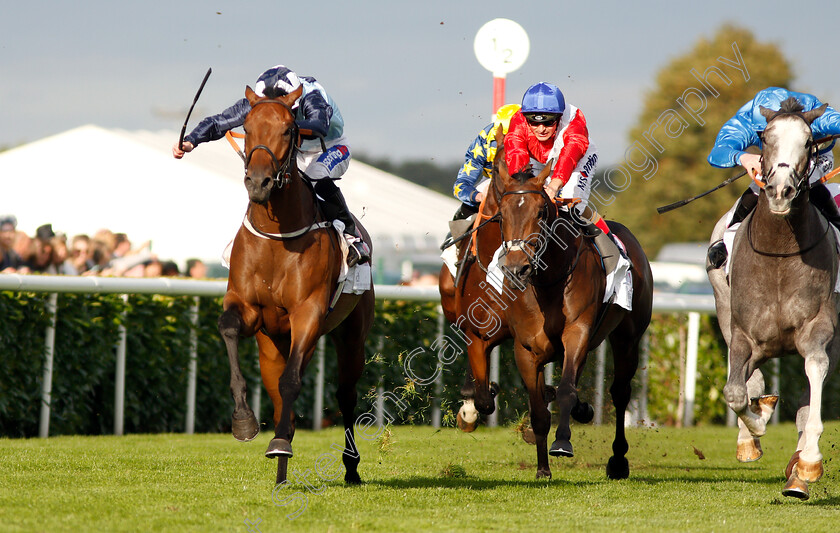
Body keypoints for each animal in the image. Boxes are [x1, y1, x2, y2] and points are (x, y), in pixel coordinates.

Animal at [218, 82, 372, 482]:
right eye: (247, 127)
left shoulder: (308, 313)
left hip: (351, 334)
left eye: (289, 129)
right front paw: (244, 421)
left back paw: (350, 467)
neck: (277, 236)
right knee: (275, 390)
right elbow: (228, 328)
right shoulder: (247, 308)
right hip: (271, 343)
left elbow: (292, 381)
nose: (258, 182)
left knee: (345, 394)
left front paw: (279, 443)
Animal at [440, 130, 656, 478]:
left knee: (620, 393)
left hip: (627, 337)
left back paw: (617, 459)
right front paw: (542, 468)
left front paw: (562, 442)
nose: (516, 268)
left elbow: (566, 390)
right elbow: (529, 405)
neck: (548, 280)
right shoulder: (513, 343)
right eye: (503, 214)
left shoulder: (577, 332)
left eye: (541, 211)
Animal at [704, 98, 836, 498]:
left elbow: (815, 372)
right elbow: (734, 391)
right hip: (723, 309)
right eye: (764, 138)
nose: (780, 191)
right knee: (751, 380)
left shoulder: (819, 328)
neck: (780, 254)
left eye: (809, 142)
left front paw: (809, 462)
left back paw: (798, 473)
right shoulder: (743, 334)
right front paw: (756, 424)